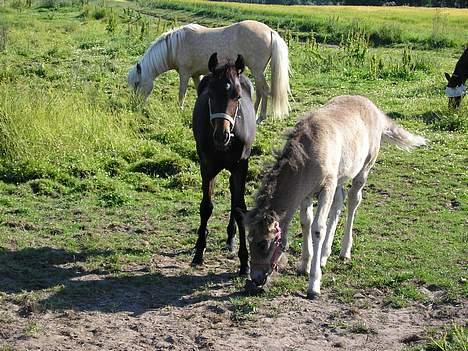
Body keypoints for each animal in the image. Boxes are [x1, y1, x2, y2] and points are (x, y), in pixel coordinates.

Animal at [128, 21, 288, 122]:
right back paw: (253, 113)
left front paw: (180, 110)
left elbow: (181, 93)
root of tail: (270, 31)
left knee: (265, 90)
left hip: (257, 70)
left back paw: (261, 117)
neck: (175, 46)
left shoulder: (184, 74)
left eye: (137, 83)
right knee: (260, 91)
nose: (135, 105)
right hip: (258, 71)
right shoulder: (195, 75)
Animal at [190, 53, 256, 278]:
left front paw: (245, 263)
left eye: (237, 96)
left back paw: (231, 238)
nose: (221, 135)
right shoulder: (207, 165)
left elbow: (239, 209)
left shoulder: (240, 167)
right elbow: (206, 207)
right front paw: (199, 251)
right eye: (211, 94)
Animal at [247, 95, 426, 300]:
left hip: (363, 170)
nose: (255, 278)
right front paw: (305, 264)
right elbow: (306, 222)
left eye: (263, 244)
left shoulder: (327, 187)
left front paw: (314, 285)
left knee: (353, 201)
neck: (308, 153)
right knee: (339, 203)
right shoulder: (306, 193)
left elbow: (318, 228)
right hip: (341, 176)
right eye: (248, 240)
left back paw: (344, 251)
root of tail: (375, 109)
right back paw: (324, 254)